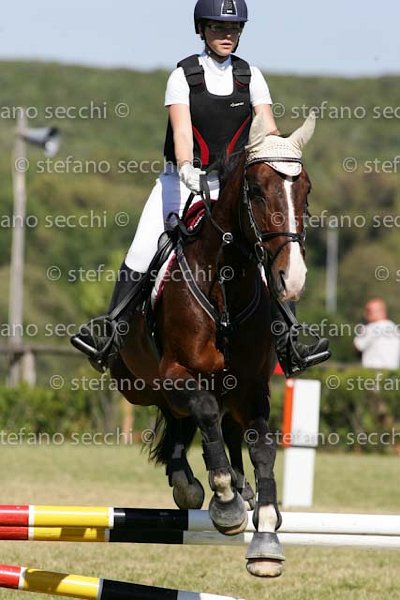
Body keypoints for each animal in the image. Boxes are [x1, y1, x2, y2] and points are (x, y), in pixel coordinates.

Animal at [110, 112, 316, 578]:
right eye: (256, 190)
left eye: (306, 190)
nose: (291, 279)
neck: (227, 284)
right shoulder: (176, 372)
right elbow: (203, 411)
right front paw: (226, 503)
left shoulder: (253, 387)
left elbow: (261, 448)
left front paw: (266, 533)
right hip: (138, 384)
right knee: (184, 413)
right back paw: (191, 482)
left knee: (215, 425)